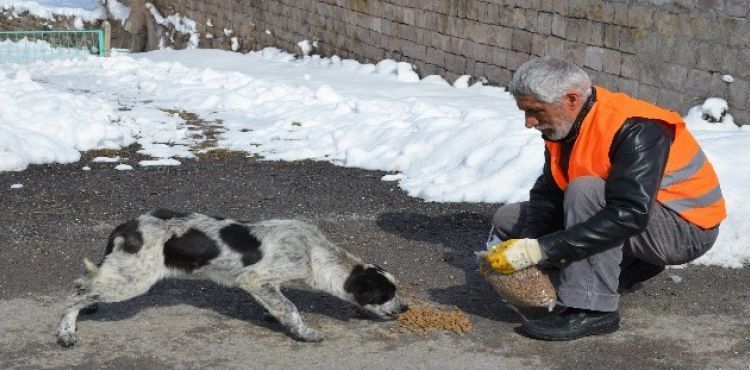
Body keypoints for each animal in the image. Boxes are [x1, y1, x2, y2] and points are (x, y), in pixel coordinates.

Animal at [55, 207, 406, 346]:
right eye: (386, 294)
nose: (406, 309)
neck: (312, 250)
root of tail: (127, 226)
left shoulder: (268, 285)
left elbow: (279, 305)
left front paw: (273, 316)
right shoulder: (254, 280)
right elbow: (291, 308)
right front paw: (304, 333)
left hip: (120, 273)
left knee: (82, 282)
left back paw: (87, 310)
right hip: (133, 281)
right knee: (74, 294)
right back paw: (66, 333)